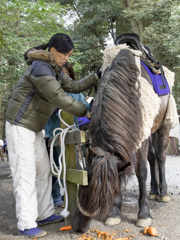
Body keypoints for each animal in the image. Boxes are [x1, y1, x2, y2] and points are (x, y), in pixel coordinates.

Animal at [71, 47, 172, 232]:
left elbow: (141, 171)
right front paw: (114, 213)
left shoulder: (142, 139)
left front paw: (144, 215)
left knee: (160, 157)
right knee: (152, 157)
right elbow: (119, 172)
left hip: (163, 127)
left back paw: (163, 193)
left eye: (103, 196)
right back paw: (154, 191)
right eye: (84, 184)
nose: (77, 226)